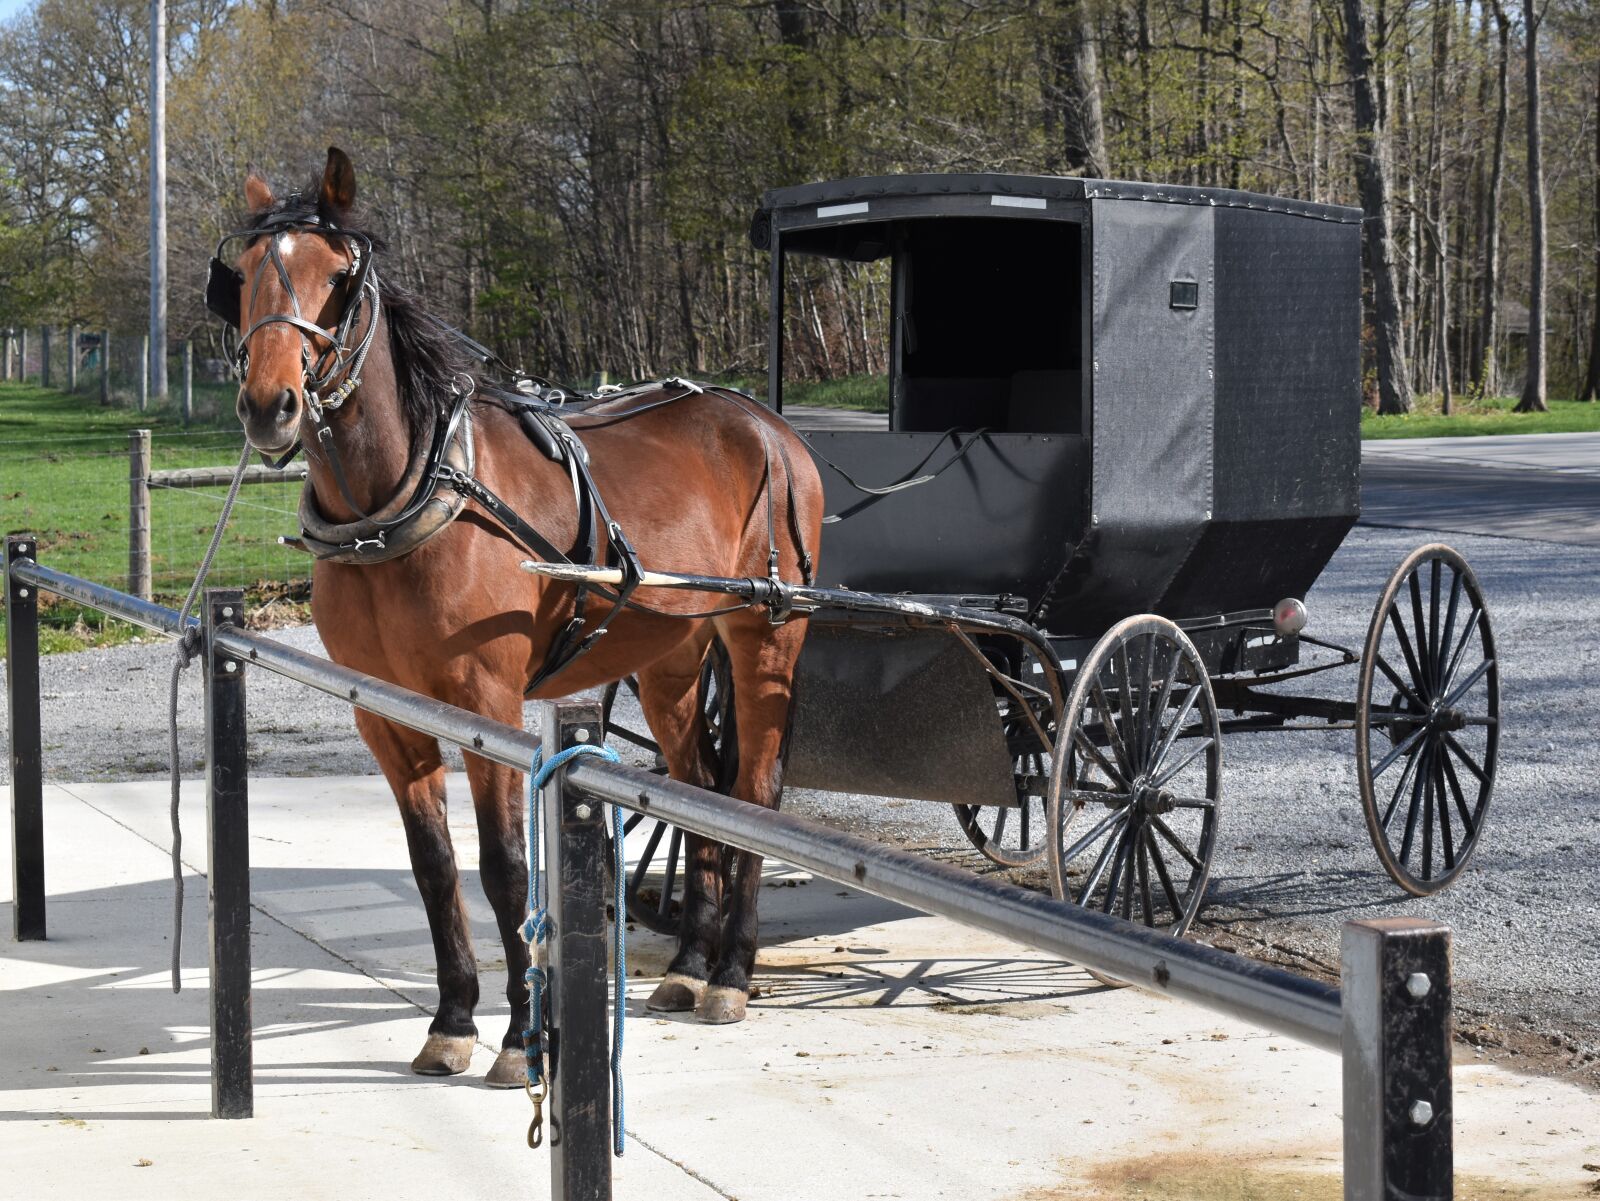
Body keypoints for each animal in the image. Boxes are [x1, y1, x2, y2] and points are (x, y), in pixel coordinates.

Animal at [216, 147, 823, 1086]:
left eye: (341, 279)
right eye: (242, 275)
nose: (268, 404)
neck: (407, 493)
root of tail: (765, 422)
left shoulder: (486, 706)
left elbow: (502, 868)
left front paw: (519, 1032)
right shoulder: (385, 717)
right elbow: (433, 867)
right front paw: (453, 1017)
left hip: (766, 638)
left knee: (752, 792)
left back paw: (731, 972)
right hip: (673, 655)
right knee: (695, 787)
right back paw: (689, 964)